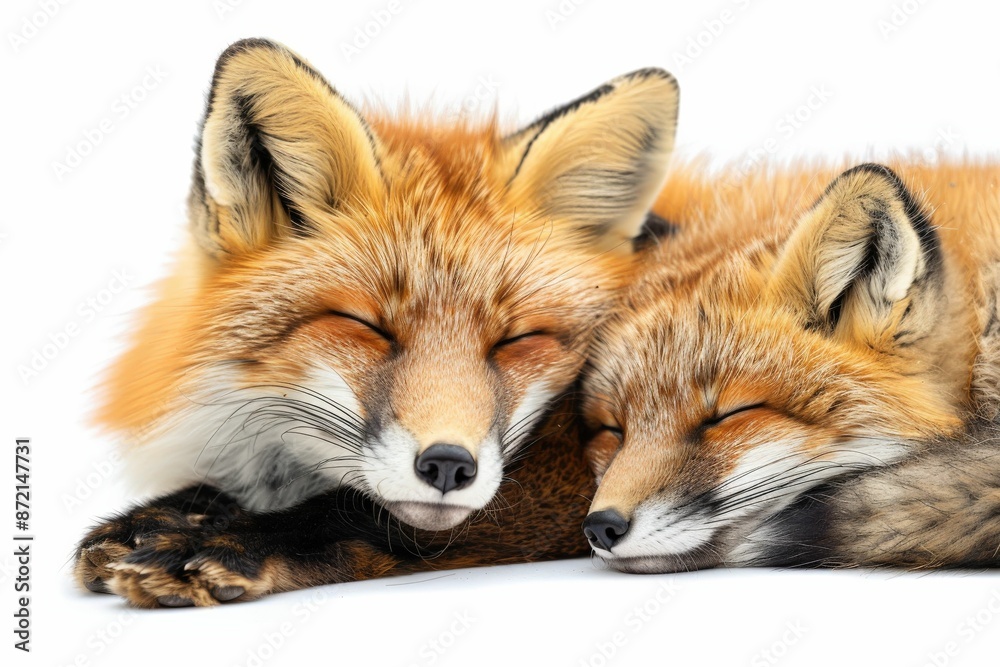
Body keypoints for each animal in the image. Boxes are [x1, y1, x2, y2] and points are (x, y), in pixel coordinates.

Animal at [73, 38, 681, 607]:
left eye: (516, 339)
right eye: (366, 326)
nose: (447, 466)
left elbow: (360, 515)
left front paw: (219, 539)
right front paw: (167, 515)